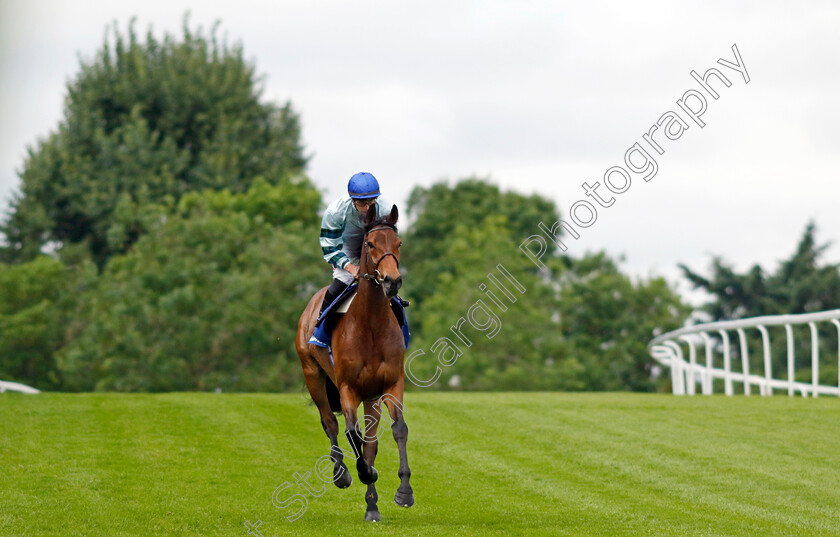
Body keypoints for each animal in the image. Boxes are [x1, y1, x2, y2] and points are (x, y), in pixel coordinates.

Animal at [296, 203, 414, 520]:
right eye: (370, 243)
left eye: (398, 243)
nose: (392, 281)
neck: (370, 325)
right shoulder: (347, 387)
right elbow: (351, 432)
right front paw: (362, 472)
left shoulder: (391, 383)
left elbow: (398, 429)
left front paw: (404, 491)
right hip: (313, 374)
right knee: (330, 423)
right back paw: (342, 474)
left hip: (371, 395)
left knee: (370, 442)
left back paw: (372, 506)